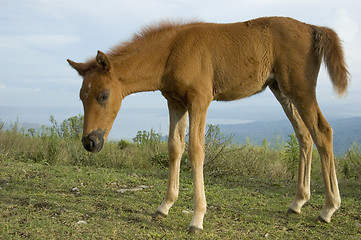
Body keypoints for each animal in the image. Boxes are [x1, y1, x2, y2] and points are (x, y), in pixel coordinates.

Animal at [67, 16, 346, 232]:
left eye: (103, 95)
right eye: (81, 96)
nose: (90, 142)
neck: (171, 52)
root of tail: (312, 28)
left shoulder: (200, 100)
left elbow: (196, 150)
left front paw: (197, 219)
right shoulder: (175, 102)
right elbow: (174, 148)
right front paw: (164, 206)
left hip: (300, 89)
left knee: (323, 132)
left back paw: (328, 209)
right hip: (281, 90)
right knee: (304, 135)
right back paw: (298, 203)